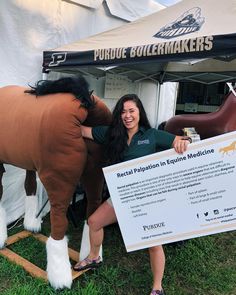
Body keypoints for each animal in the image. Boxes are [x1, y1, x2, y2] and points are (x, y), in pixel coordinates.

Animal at [0, 75, 111, 290]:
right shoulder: (29, 161)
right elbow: (30, 186)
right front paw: (31, 224)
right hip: (94, 176)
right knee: (92, 212)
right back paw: (90, 258)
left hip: (59, 181)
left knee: (59, 224)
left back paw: (59, 278)